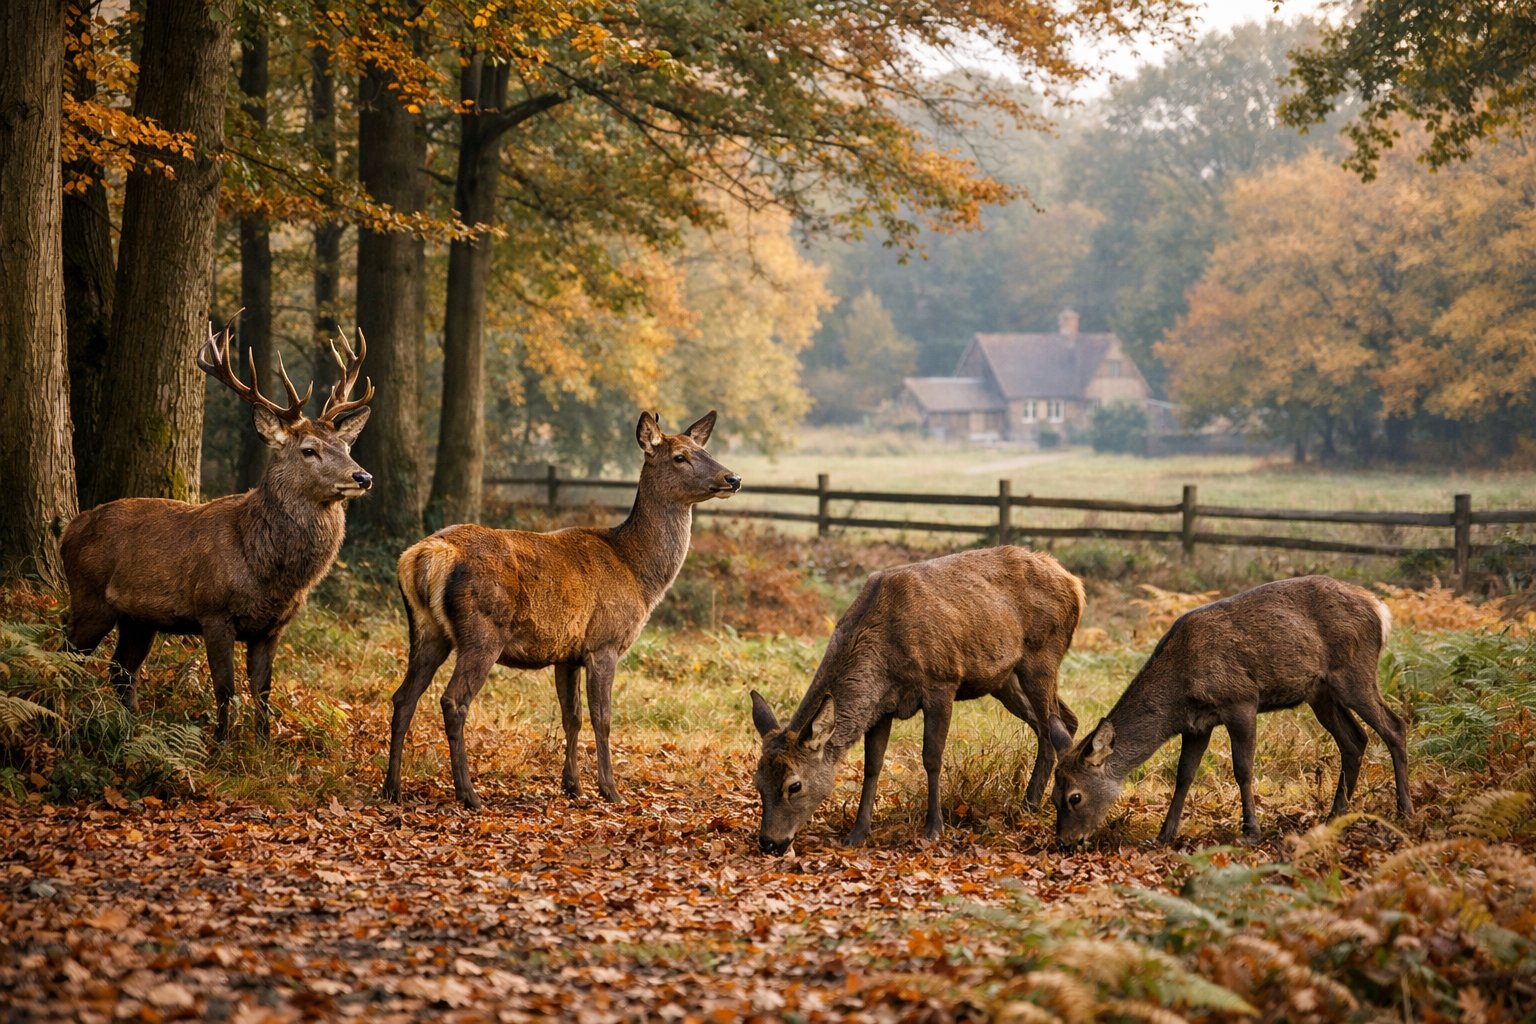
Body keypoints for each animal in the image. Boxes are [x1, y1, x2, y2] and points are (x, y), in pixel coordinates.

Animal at [61, 319, 374, 741]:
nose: (363, 476)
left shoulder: (271, 628)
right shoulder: (214, 611)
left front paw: (262, 745)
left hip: (138, 619)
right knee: (68, 652)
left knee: (121, 669)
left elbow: (262, 690)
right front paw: (221, 744)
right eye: (309, 450)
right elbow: (225, 688)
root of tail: (69, 529)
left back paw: (131, 725)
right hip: (89, 596)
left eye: (345, 446)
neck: (265, 569)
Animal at [382, 411, 741, 810]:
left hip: (426, 629)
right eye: (680, 456)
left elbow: (572, 717)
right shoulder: (604, 642)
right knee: (453, 700)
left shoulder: (567, 653)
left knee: (403, 697)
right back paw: (469, 794)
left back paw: (392, 788)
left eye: (703, 449)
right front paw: (610, 790)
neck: (638, 573)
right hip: (483, 630)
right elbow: (602, 718)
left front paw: (573, 786)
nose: (732, 478)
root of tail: (423, 557)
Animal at [750, 546, 1083, 854]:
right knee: (1064, 720)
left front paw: (934, 828)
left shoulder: (942, 681)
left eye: (794, 785)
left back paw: (1030, 805)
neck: (885, 657)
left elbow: (931, 757)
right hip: (1004, 679)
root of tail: (1075, 585)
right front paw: (858, 832)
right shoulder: (881, 707)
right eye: (758, 782)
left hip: (1042, 657)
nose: (769, 842)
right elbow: (873, 765)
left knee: (1051, 727)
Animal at [1048, 575, 1412, 847]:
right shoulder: (1197, 725)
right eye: (1053, 797)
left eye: (1075, 797)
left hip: (1354, 672)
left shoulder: (1241, 700)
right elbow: (1184, 776)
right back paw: (1335, 816)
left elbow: (1243, 769)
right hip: (1320, 692)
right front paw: (1165, 834)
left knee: (1394, 726)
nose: (1065, 841)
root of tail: (1380, 608)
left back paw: (1404, 811)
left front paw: (1250, 830)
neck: (1178, 693)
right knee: (1355, 739)